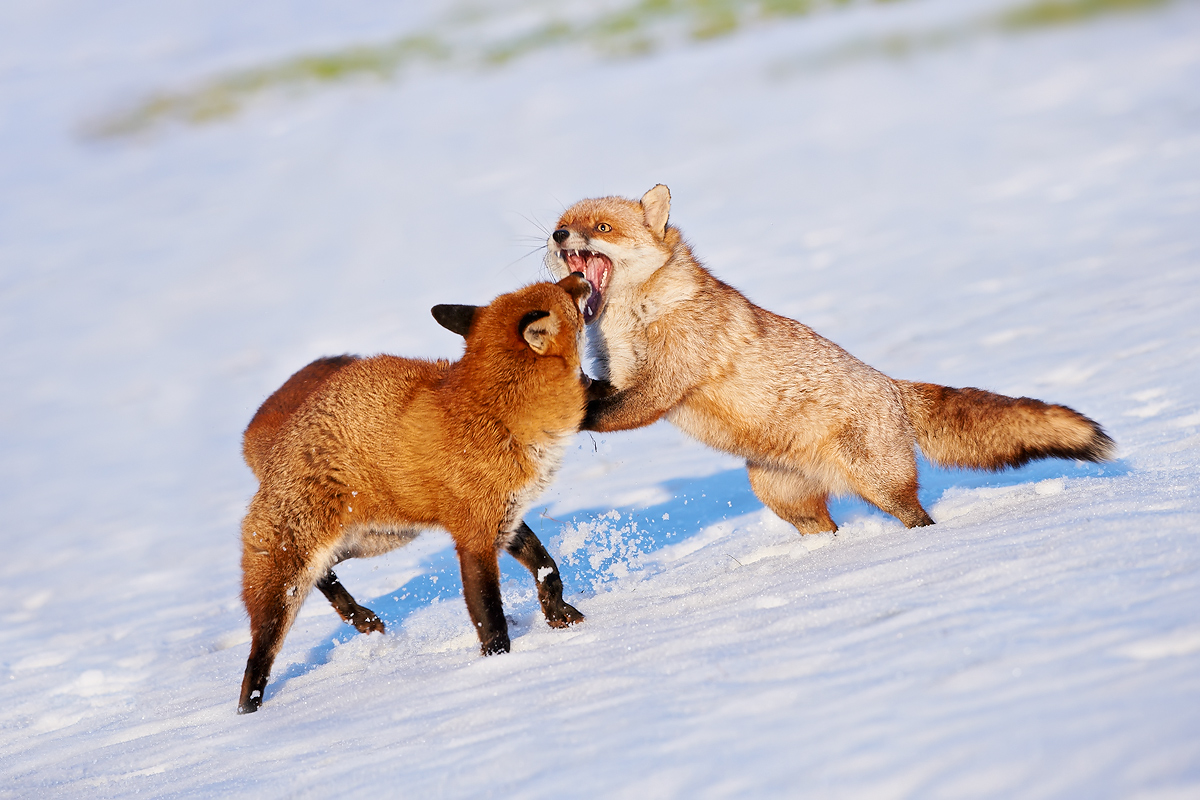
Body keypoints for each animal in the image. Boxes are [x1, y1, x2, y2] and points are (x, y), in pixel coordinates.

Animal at [236, 274, 592, 714]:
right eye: (566, 294)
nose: (580, 277)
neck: (495, 415)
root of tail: (277, 436)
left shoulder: (500, 517)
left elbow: (547, 568)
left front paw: (559, 615)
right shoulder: (474, 538)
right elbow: (488, 615)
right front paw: (498, 670)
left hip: (373, 540)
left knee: (325, 574)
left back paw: (359, 617)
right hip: (288, 578)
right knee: (259, 654)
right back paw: (250, 716)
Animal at [545, 184, 1115, 535]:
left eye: (602, 227)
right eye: (562, 223)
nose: (558, 236)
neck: (635, 319)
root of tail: (892, 385)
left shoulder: (662, 384)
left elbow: (608, 412)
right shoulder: (619, 375)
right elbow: (597, 393)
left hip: (881, 484)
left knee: (918, 516)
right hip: (781, 495)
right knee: (826, 529)